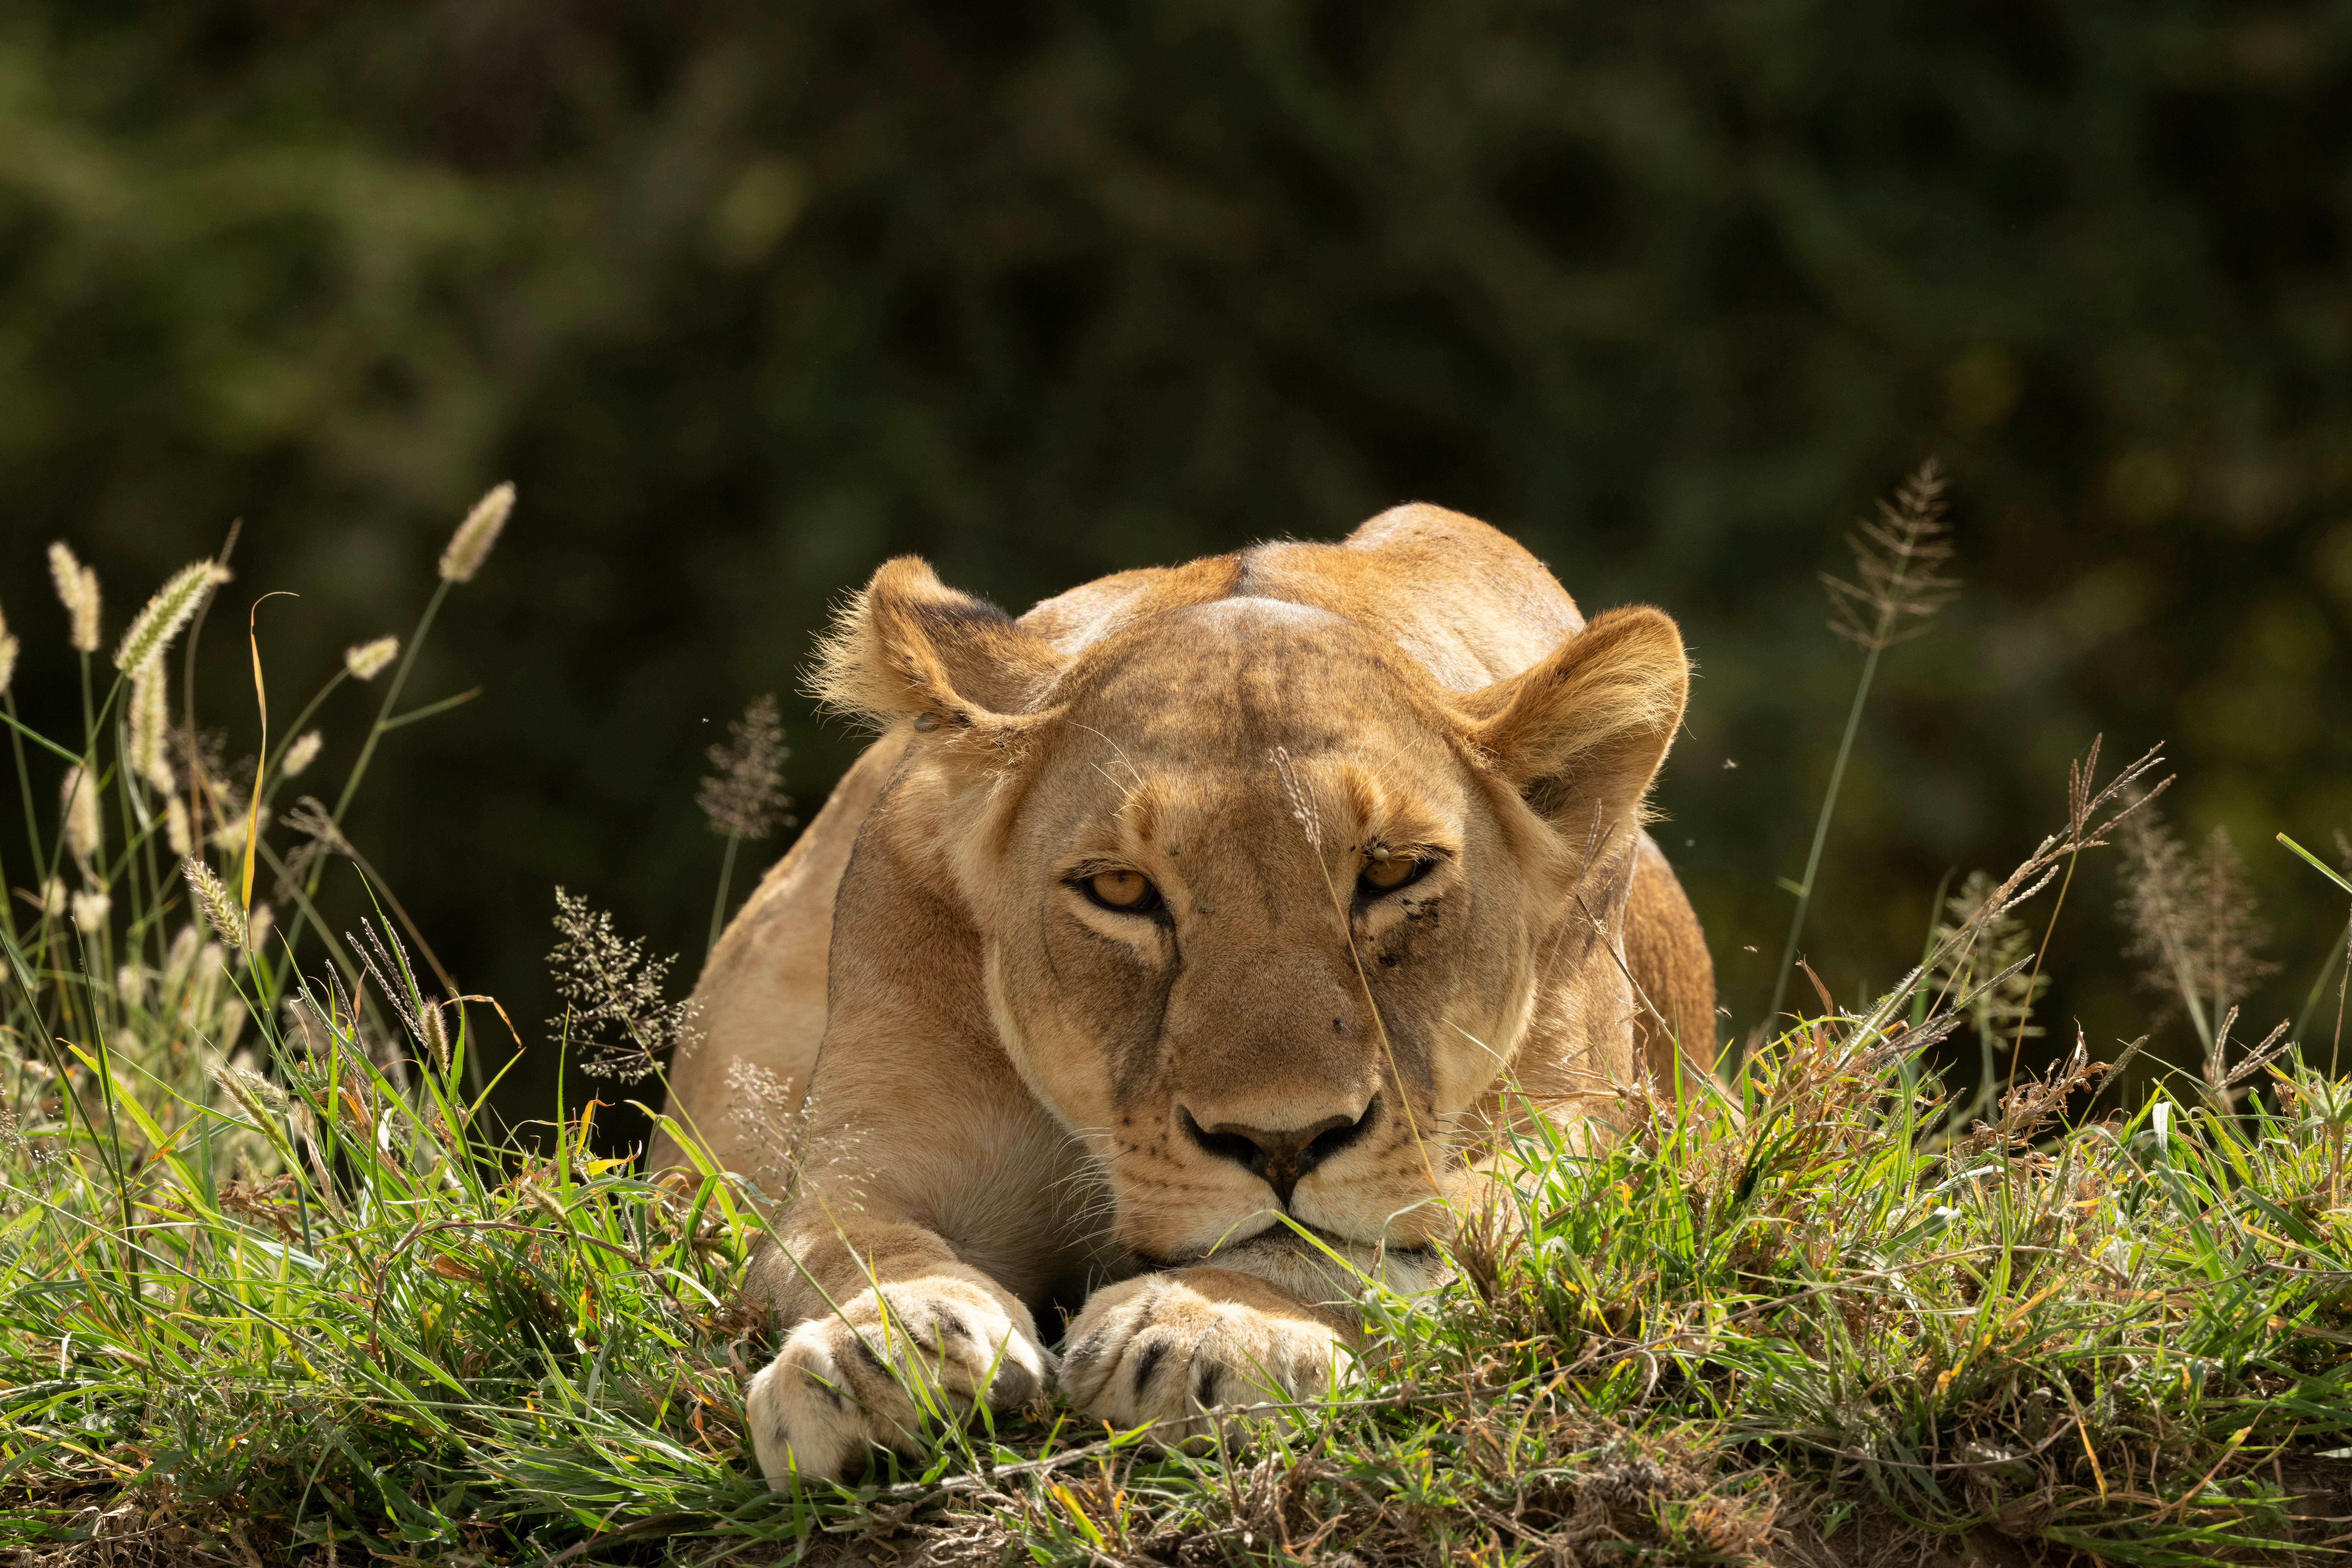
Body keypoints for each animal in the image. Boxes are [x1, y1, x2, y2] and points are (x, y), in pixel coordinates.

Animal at [652, 503, 1716, 1484]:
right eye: (1121, 888)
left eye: (1393, 871)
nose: (1283, 1141)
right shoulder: (871, 1148)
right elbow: (837, 1242)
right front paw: (876, 1350)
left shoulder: (1577, 1136)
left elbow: (1370, 1236)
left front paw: (1217, 1323)